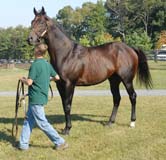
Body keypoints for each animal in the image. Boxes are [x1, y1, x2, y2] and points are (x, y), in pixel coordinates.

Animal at [27, 7, 152, 135]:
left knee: (133, 96)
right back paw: (110, 122)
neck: (66, 54)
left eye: (41, 23)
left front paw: (67, 129)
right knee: (117, 98)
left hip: (127, 80)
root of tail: (130, 48)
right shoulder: (60, 85)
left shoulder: (69, 84)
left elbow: (67, 105)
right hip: (114, 80)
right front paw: (66, 128)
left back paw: (132, 122)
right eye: (32, 22)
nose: (30, 39)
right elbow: (64, 105)